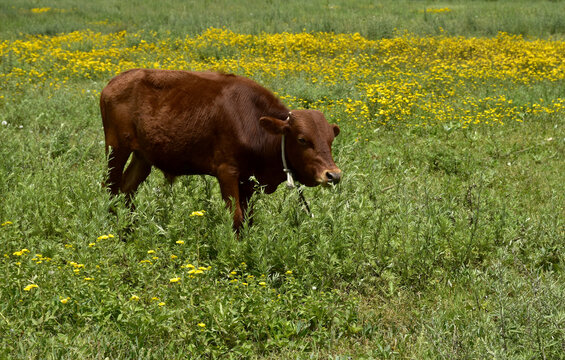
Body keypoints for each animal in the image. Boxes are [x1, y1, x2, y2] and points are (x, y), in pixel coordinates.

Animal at [100, 69, 340, 229]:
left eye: (330, 140)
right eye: (302, 139)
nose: (333, 175)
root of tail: (116, 80)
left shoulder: (248, 181)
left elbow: (248, 218)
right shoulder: (227, 172)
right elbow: (236, 217)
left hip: (143, 157)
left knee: (127, 190)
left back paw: (130, 228)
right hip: (116, 149)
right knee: (110, 187)